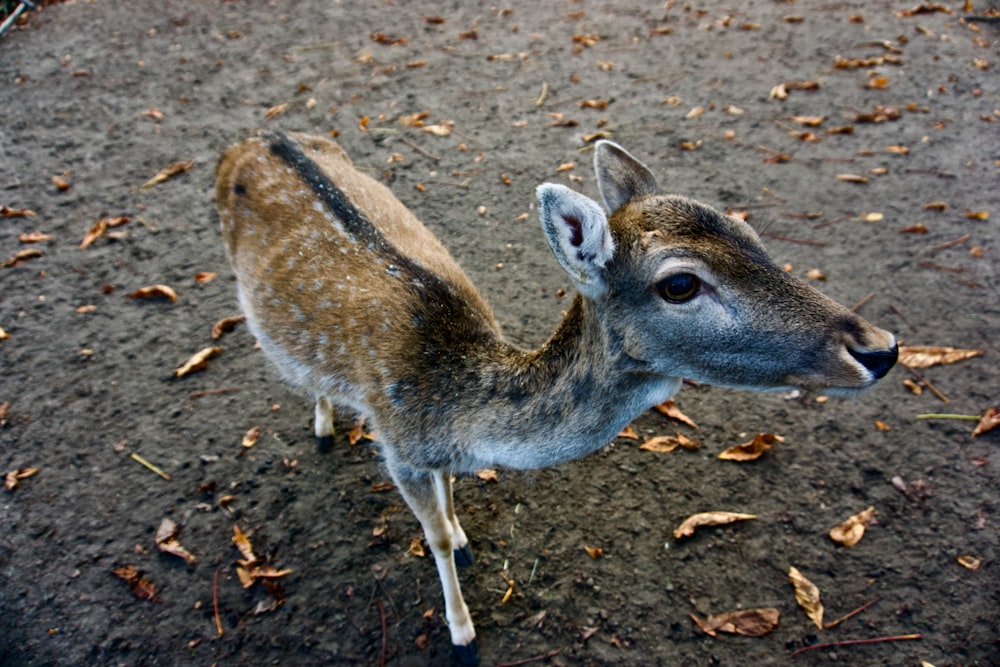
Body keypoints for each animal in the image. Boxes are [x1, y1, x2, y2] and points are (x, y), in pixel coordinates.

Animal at [217, 133, 900, 664]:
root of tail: (253, 138)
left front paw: (464, 538)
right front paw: (462, 632)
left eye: (747, 229)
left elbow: (448, 500)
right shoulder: (397, 444)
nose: (881, 348)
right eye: (680, 283)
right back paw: (323, 426)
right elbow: (430, 536)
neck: (453, 404)